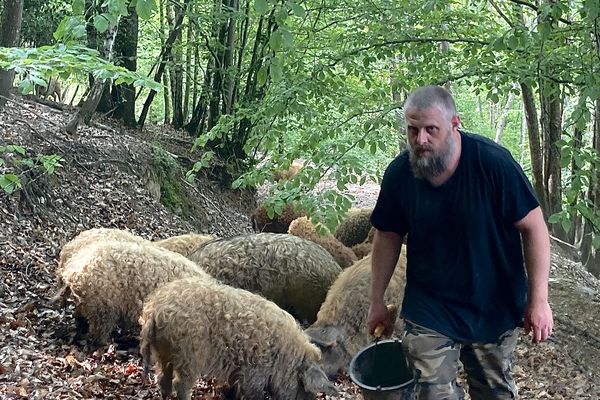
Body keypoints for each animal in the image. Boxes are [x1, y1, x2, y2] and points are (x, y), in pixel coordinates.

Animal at [139, 276, 338, 400]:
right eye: (304, 387)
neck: (286, 357)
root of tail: (155, 310)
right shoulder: (256, 370)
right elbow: (253, 392)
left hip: (163, 353)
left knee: (163, 380)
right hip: (189, 356)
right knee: (180, 384)